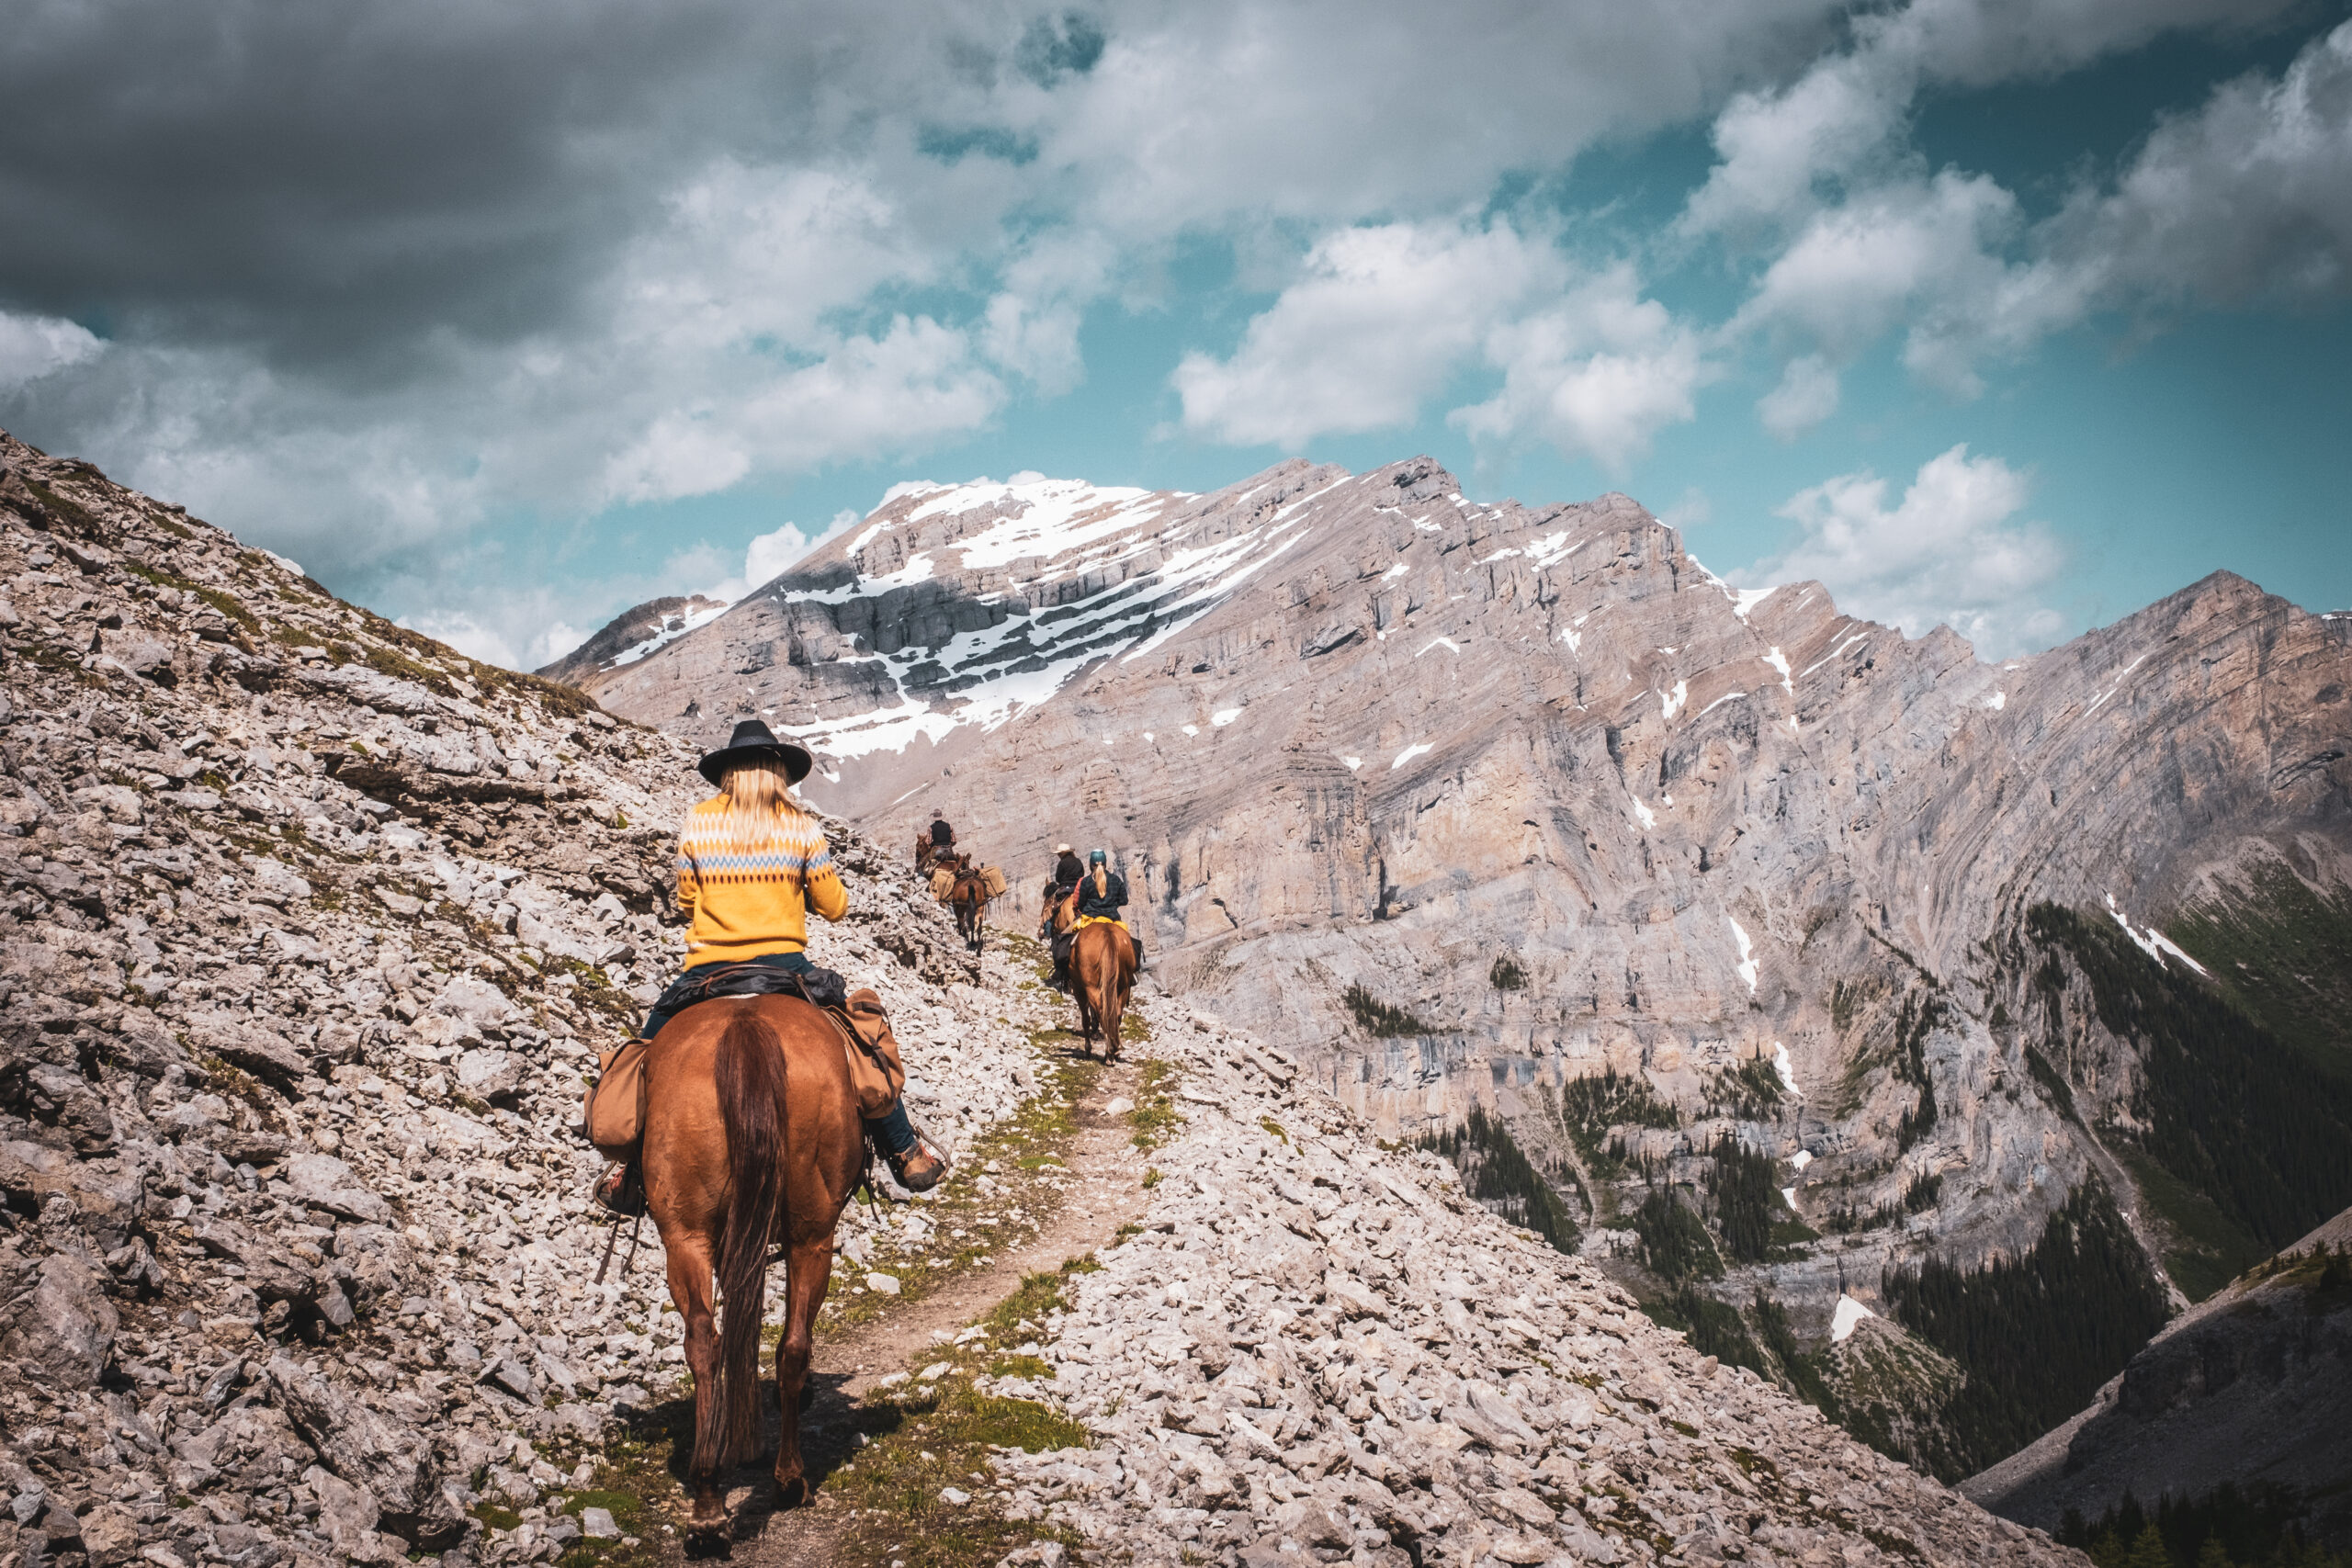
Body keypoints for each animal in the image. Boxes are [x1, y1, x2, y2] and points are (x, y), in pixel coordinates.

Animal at [1072, 926, 1133, 1062]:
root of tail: (1108, 933)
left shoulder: (1079, 990)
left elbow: (1086, 1019)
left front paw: (1088, 1049)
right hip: (1123, 987)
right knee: (1116, 1014)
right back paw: (1115, 1051)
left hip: (1091, 987)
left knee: (1101, 1012)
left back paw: (1109, 1053)